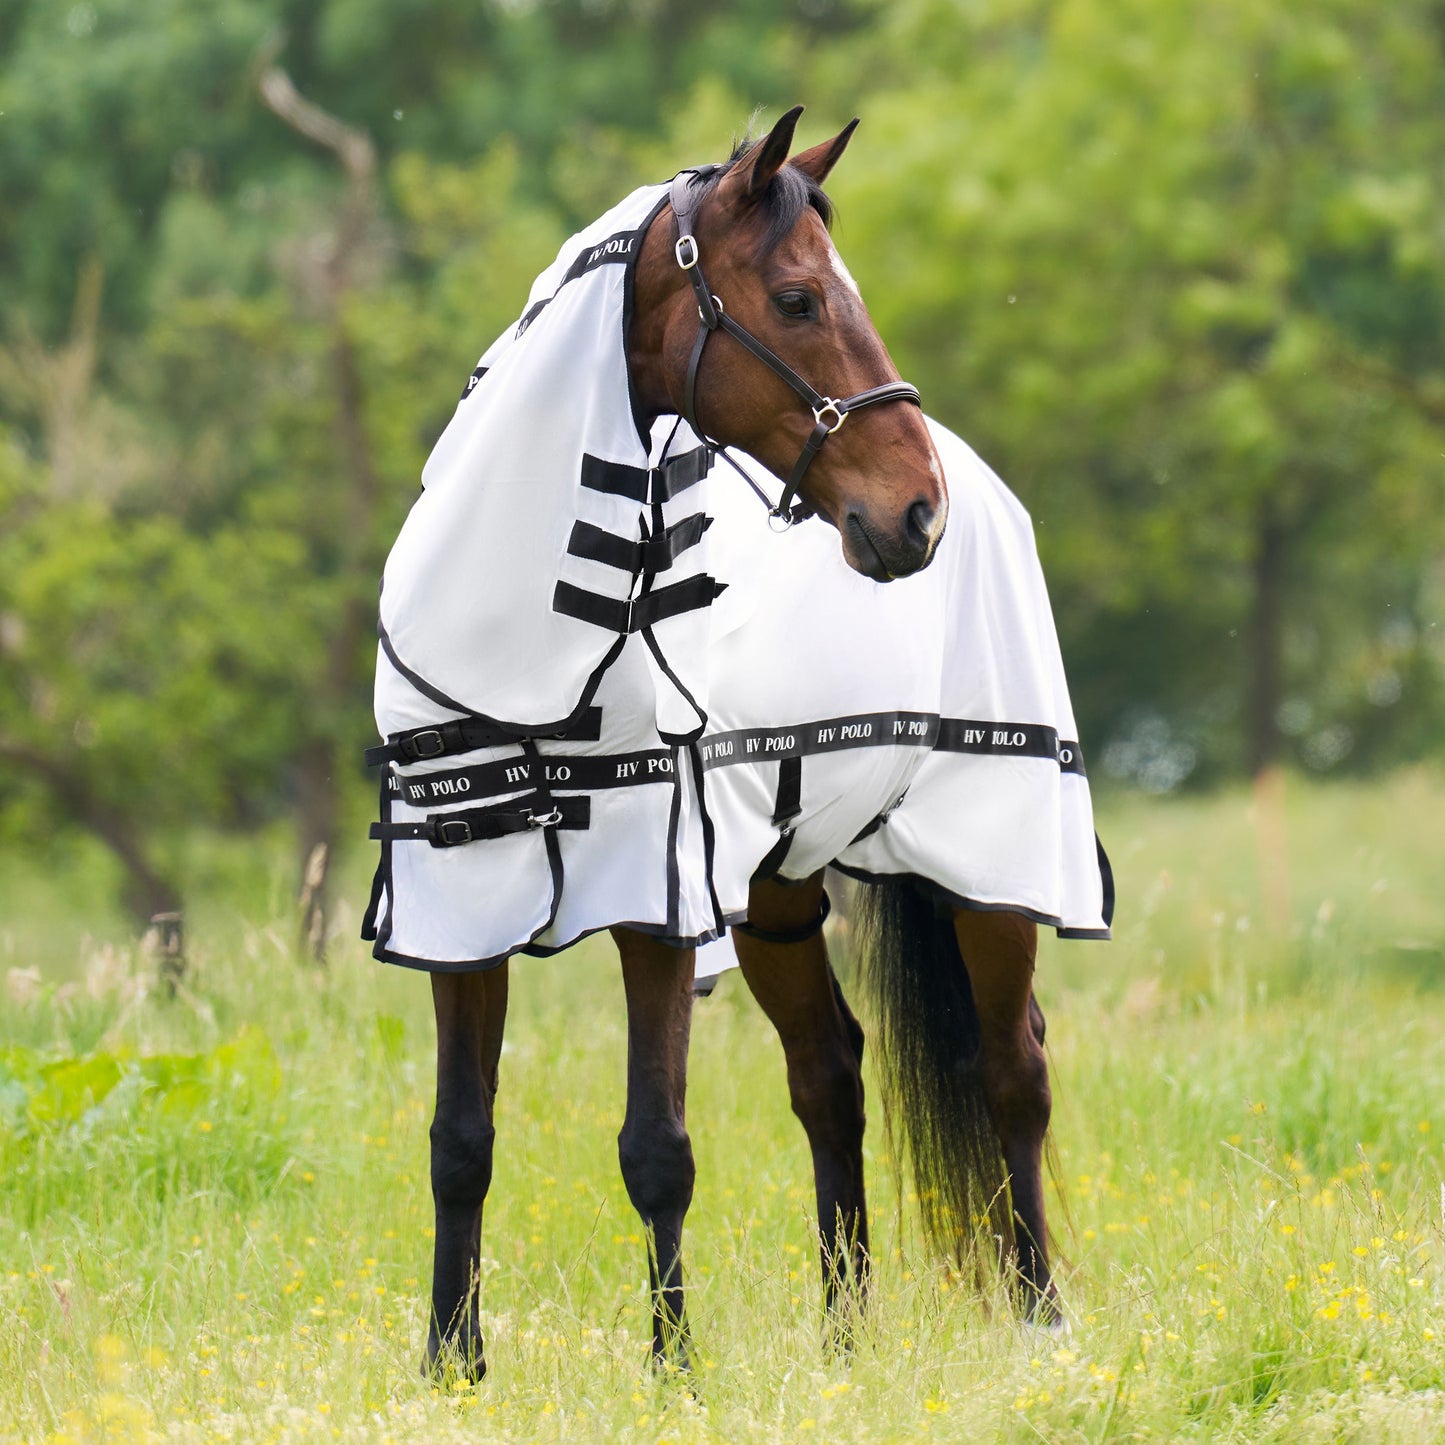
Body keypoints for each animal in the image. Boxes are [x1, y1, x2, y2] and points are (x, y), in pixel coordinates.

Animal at [362, 106, 1108, 1378]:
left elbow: (654, 1144)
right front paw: (449, 1366)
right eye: (799, 298)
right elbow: (458, 1137)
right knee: (831, 1074)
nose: (915, 510)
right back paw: (844, 1338)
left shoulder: (654, 898)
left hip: (987, 863)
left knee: (1014, 1069)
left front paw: (673, 1370)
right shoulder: (457, 899)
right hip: (773, 895)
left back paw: (1039, 1318)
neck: (524, 648)